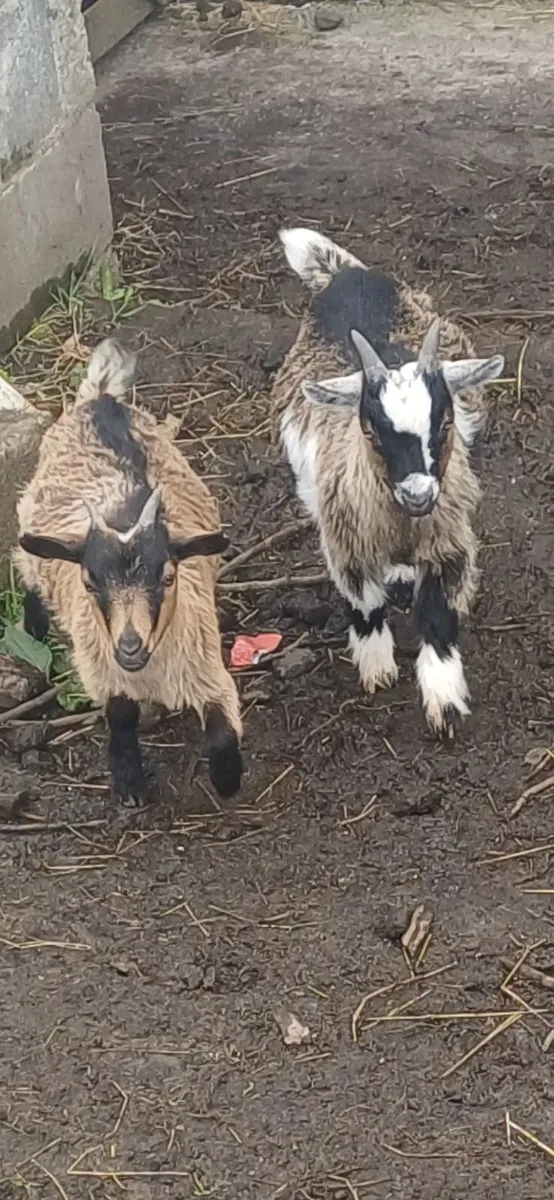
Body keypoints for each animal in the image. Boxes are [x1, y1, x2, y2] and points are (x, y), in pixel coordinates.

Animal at [14, 339, 243, 807]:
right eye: (89, 582)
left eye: (168, 577)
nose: (130, 644)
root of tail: (100, 399)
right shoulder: (103, 671)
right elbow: (119, 717)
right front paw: (129, 783)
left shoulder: (207, 670)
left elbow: (223, 732)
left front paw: (227, 780)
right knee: (27, 575)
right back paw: (33, 632)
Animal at [272, 227, 505, 737]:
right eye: (371, 430)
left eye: (444, 423)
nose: (418, 494)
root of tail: (348, 274)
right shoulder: (346, 539)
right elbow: (363, 601)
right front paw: (376, 664)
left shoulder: (446, 537)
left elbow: (437, 613)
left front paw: (443, 699)